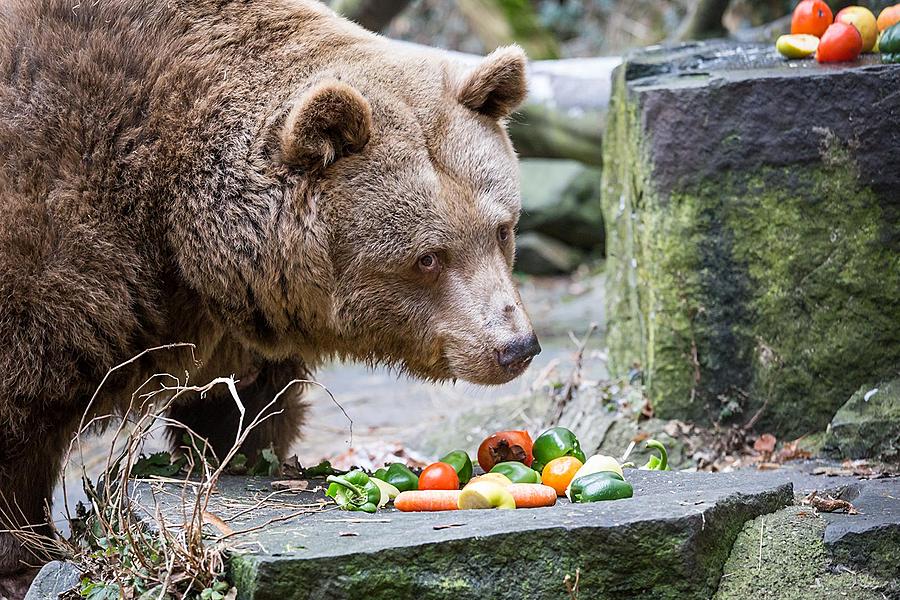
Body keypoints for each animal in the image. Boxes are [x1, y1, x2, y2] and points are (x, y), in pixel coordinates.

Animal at [0, 0, 536, 592]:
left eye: (501, 229)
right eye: (428, 257)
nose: (515, 347)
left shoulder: (234, 330)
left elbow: (237, 414)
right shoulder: (58, 251)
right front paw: (25, 561)